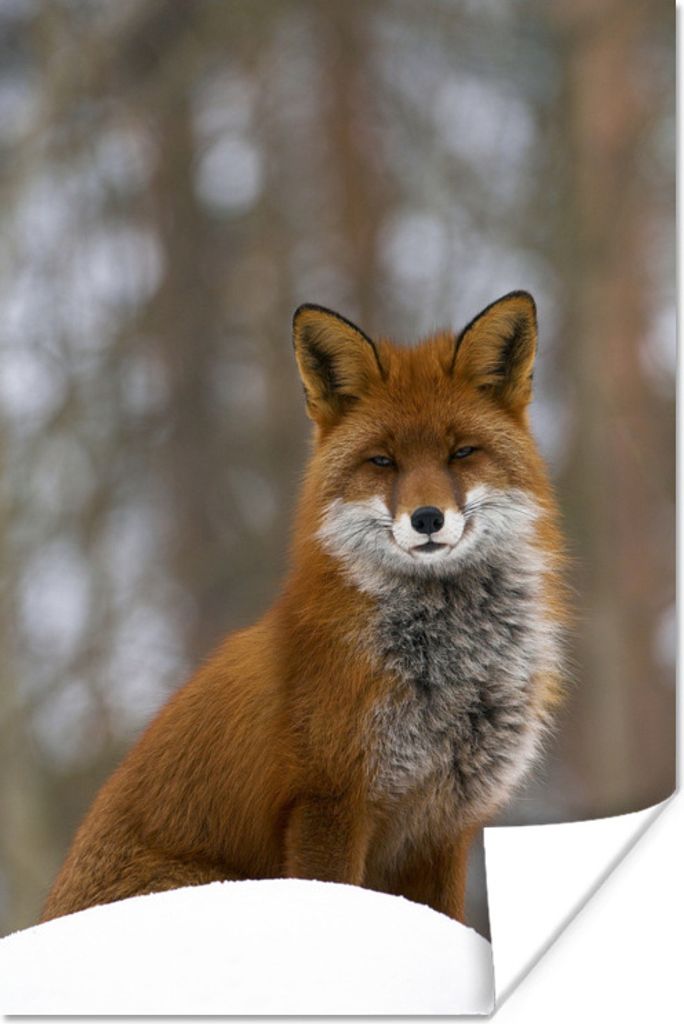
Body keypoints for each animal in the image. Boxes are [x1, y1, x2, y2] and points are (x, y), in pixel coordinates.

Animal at [41, 291, 566, 926]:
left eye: (462, 452)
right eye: (382, 461)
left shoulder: (444, 825)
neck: (448, 673)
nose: (427, 519)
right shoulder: (329, 801)